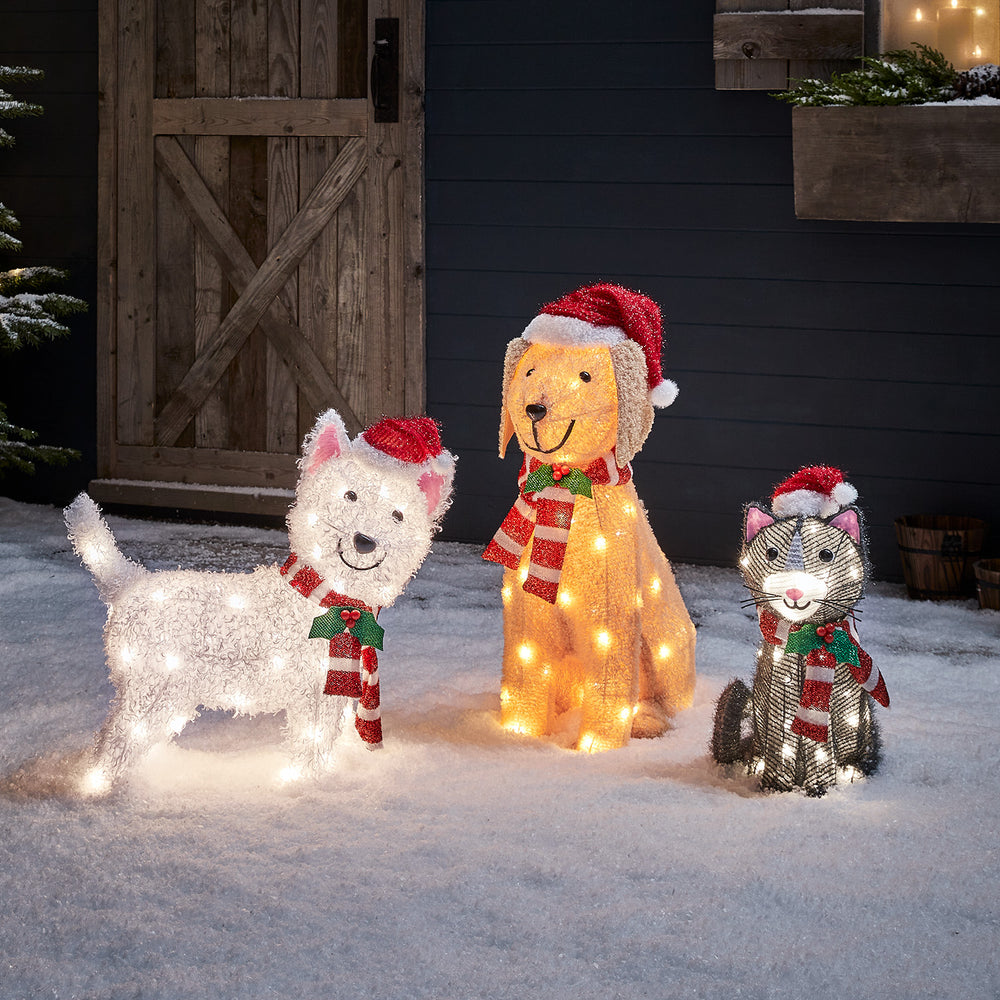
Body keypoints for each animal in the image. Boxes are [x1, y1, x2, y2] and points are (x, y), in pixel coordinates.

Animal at [62, 410, 454, 792]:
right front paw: (303, 785)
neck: (331, 600)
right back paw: (103, 787)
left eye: (398, 515)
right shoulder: (313, 695)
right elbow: (310, 744)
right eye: (350, 495)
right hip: (154, 687)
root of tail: (129, 581)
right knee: (117, 740)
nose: (365, 541)